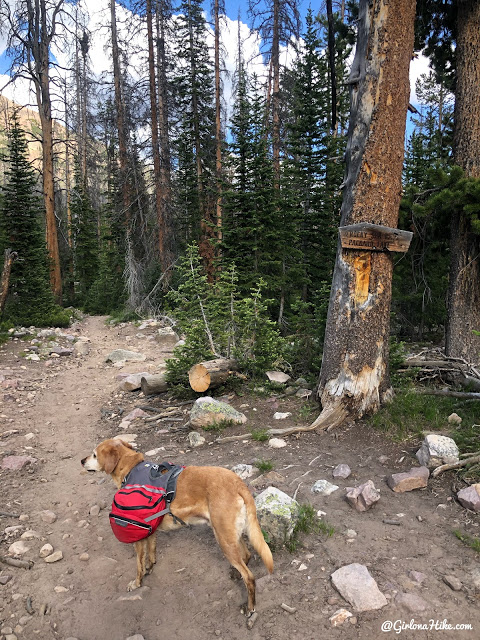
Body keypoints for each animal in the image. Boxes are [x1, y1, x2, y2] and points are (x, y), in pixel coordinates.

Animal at [80, 438, 272, 616]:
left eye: (94, 455)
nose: (81, 461)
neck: (131, 468)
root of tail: (238, 483)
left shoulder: (139, 538)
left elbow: (139, 565)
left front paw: (137, 583)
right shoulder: (150, 531)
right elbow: (151, 553)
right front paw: (150, 567)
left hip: (223, 539)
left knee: (249, 576)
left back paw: (250, 607)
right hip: (230, 534)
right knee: (246, 555)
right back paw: (236, 573)